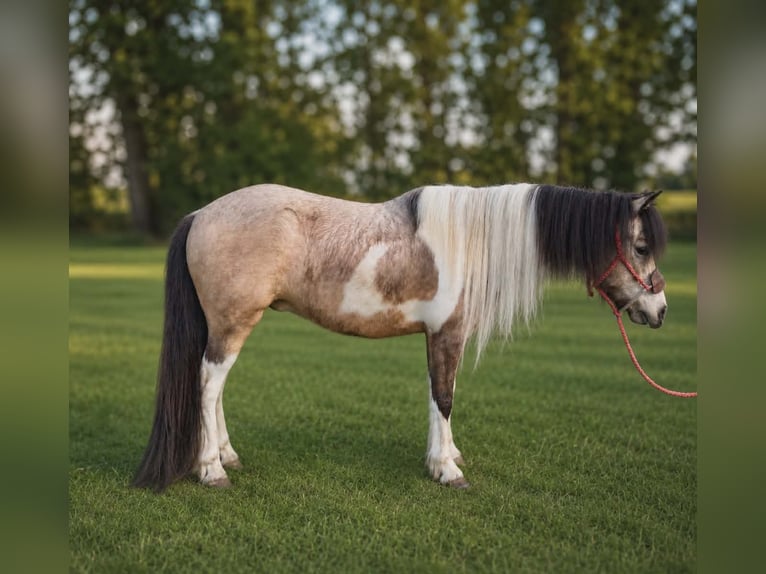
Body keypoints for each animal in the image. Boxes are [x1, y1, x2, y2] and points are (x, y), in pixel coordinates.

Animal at [132, 183, 668, 492]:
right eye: (641, 246)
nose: (660, 310)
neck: (469, 240)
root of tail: (201, 214)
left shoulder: (440, 336)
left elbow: (438, 397)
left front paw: (443, 458)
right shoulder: (446, 334)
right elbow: (445, 398)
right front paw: (449, 472)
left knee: (214, 386)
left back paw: (227, 456)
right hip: (232, 323)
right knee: (208, 385)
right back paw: (212, 471)